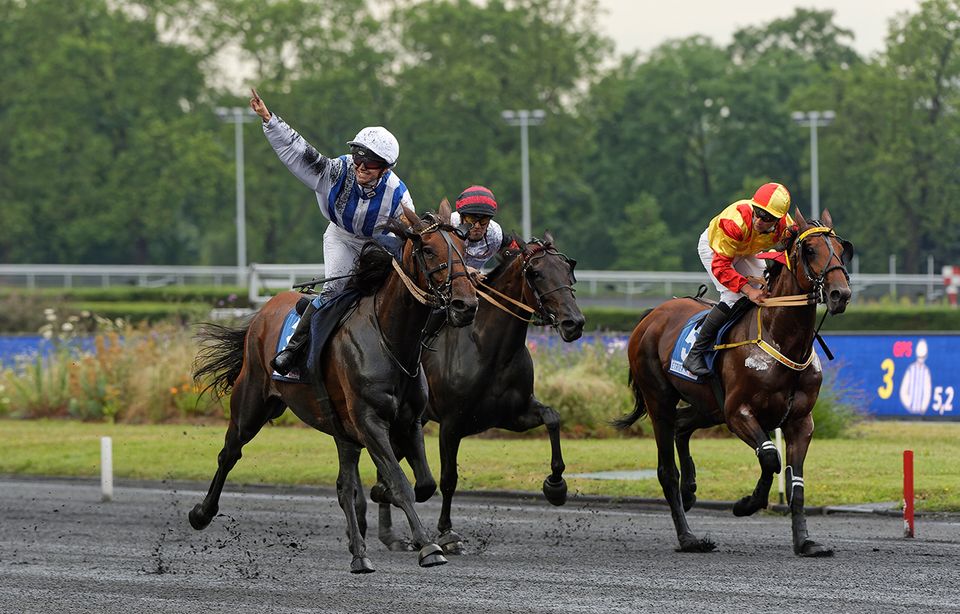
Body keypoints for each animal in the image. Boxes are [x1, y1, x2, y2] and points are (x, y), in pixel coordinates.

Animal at [188, 205, 476, 576]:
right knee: (229, 453)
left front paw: (389, 512)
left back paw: (359, 553)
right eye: (428, 250)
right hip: (251, 403)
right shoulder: (369, 422)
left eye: (462, 246)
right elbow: (400, 483)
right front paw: (428, 547)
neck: (391, 339)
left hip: (341, 430)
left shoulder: (408, 422)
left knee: (344, 486)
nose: (465, 304)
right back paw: (201, 513)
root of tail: (263, 311)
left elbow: (423, 484)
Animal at [376, 232, 584, 560]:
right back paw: (389, 533)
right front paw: (447, 534)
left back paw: (390, 533)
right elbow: (449, 479)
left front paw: (556, 486)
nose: (573, 323)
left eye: (567, 269)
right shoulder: (451, 425)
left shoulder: (512, 415)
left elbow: (552, 418)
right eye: (536, 273)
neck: (488, 348)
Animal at [612, 211, 852, 560]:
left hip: (708, 406)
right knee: (666, 469)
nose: (840, 294)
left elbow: (795, 482)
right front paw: (746, 504)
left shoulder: (800, 421)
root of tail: (652, 315)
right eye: (809, 250)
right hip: (660, 401)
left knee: (682, 426)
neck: (781, 339)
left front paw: (805, 542)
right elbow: (770, 457)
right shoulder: (738, 412)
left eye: (842, 248)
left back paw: (689, 491)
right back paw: (689, 538)